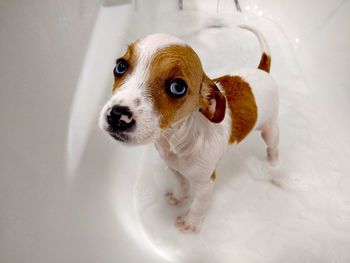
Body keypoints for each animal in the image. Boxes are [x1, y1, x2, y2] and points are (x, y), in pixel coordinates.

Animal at [99, 25, 278, 234]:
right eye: (120, 66)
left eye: (177, 87)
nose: (117, 116)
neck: (177, 140)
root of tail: (262, 71)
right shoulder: (173, 167)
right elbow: (182, 183)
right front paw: (179, 197)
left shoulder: (207, 182)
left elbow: (199, 205)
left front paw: (190, 223)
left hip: (271, 130)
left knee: (273, 149)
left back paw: (275, 171)